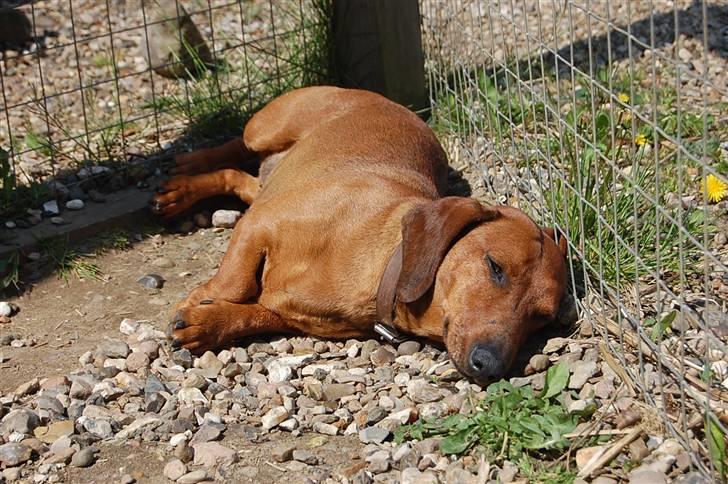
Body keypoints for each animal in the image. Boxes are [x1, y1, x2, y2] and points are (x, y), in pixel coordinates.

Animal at [152, 86, 576, 382]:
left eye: (541, 318)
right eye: (495, 267)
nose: (490, 365)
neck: (377, 266)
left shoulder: (287, 314)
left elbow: (252, 313)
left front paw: (208, 323)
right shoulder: (260, 224)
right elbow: (235, 285)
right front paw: (200, 298)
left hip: (263, 182)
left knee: (236, 177)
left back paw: (182, 191)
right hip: (266, 129)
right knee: (234, 145)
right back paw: (188, 166)